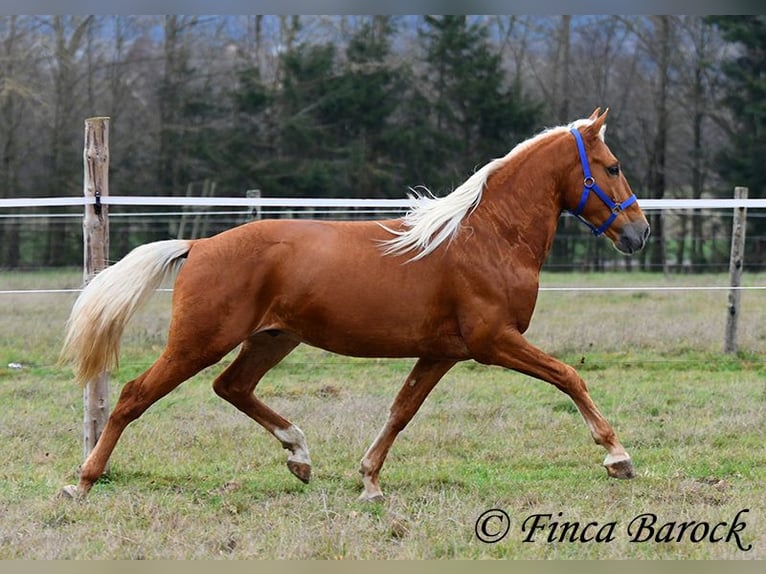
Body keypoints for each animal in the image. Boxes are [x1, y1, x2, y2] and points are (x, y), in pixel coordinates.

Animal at [59, 108, 650, 502]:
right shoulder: (493, 341)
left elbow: (401, 411)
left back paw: (299, 456)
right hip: (199, 341)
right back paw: (82, 482)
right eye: (613, 166)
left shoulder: (442, 352)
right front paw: (617, 457)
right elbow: (569, 376)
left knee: (232, 387)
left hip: (272, 338)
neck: (486, 239)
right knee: (134, 396)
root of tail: (199, 245)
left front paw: (368, 480)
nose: (639, 232)